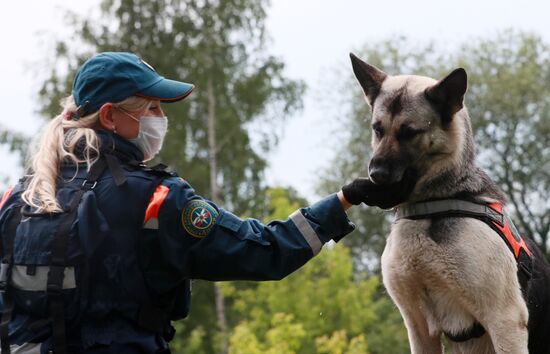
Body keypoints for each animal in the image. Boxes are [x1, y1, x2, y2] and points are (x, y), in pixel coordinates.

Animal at [352, 53, 550, 354]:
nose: (376, 175)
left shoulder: (505, 320)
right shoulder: (419, 328)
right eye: (378, 130)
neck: (430, 208)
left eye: (409, 132)